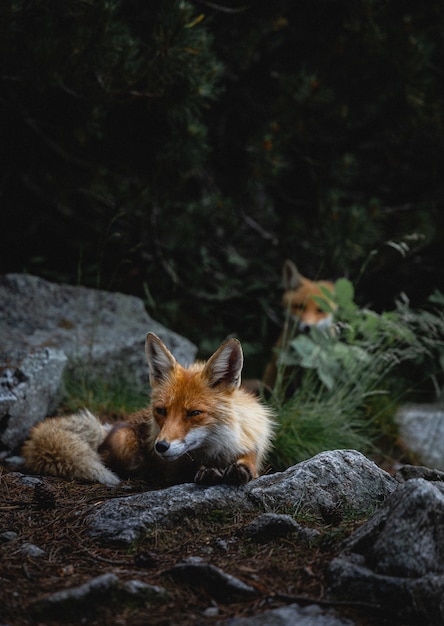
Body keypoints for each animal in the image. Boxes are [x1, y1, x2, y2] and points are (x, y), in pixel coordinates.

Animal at [23, 332, 278, 488]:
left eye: (194, 413)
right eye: (161, 411)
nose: (160, 446)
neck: (217, 449)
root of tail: (110, 426)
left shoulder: (251, 442)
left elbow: (250, 459)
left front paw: (241, 468)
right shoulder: (174, 469)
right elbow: (186, 468)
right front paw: (205, 471)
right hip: (124, 443)